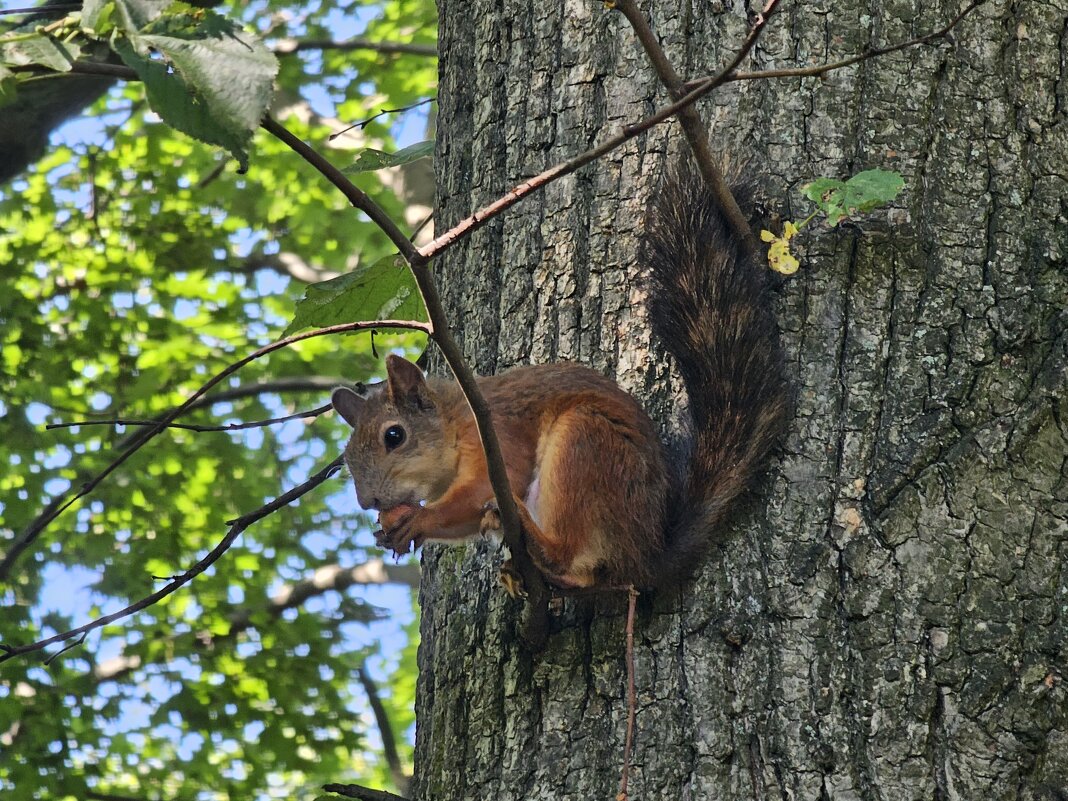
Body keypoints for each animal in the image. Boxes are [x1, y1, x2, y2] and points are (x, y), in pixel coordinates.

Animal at [328, 169, 790, 593]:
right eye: (348, 458)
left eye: (394, 436)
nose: (368, 502)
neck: (454, 420)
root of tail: (644, 558)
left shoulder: (496, 433)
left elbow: (484, 488)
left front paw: (420, 518)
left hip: (586, 443)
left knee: (571, 554)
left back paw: (539, 546)